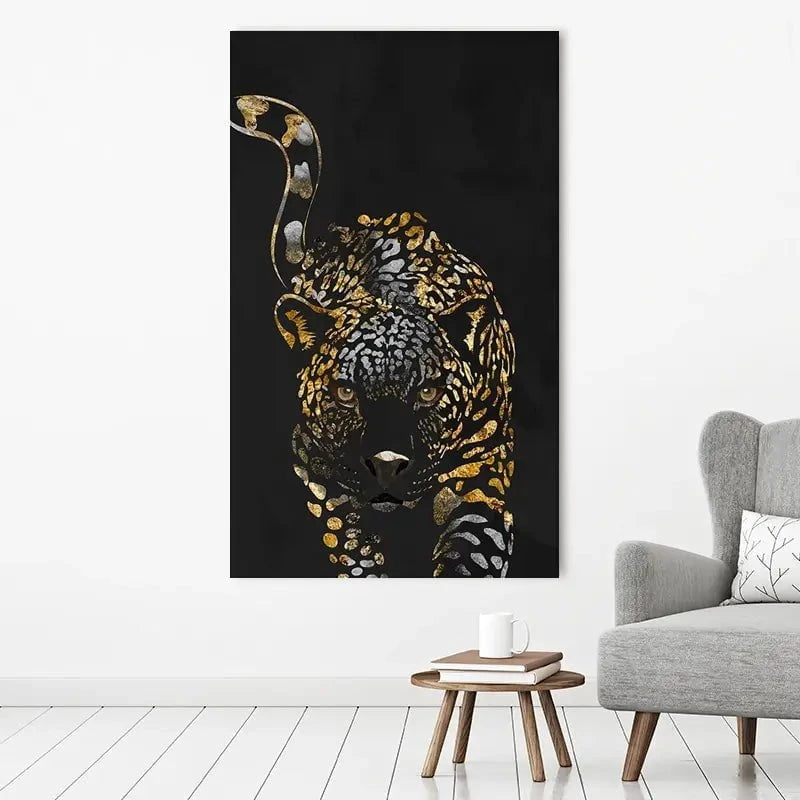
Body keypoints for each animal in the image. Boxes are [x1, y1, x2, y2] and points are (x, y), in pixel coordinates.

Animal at [231, 95, 516, 577]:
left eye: (428, 392)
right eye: (346, 392)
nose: (386, 465)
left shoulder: (483, 471)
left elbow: (474, 549)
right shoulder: (320, 475)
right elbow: (355, 549)